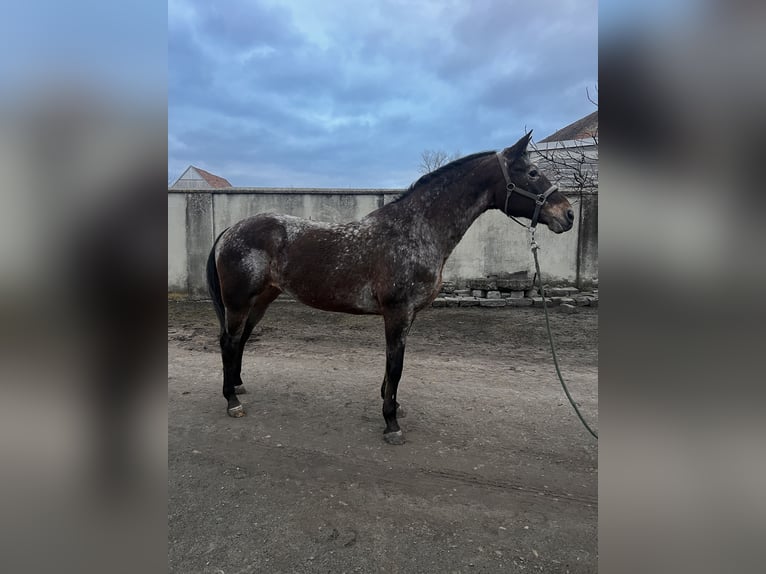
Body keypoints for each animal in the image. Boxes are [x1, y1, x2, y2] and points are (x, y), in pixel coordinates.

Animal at [207, 134, 572, 446]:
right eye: (533, 172)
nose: (567, 214)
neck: (414, 231)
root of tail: (231, 230)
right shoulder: (397, 312)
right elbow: (396, 365)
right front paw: (391, 424)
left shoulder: (406, 316)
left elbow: (391, 366)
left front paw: (391, 406)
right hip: (238, 301)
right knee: (228, 341)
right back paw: (231, 400)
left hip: (262, 299)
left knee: (241, 339)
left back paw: (238, 385)